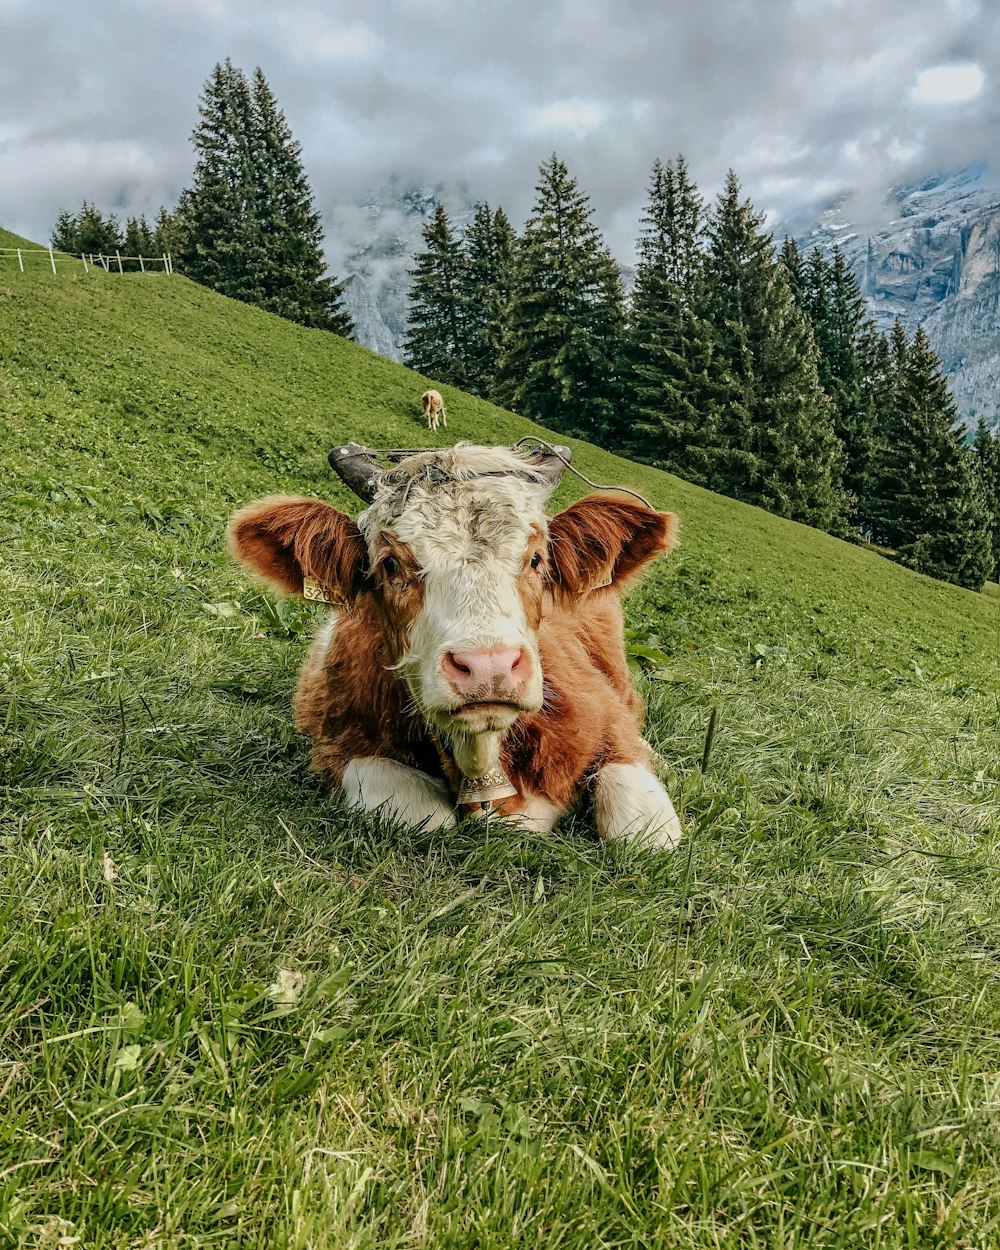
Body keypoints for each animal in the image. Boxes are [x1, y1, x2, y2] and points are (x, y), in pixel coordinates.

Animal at [227, 442, 685, 850]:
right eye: (389, 564)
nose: (488, 666)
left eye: (537, 559)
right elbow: (424, 814)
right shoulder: (341, 741)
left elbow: (644, 834)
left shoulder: (610, 724)